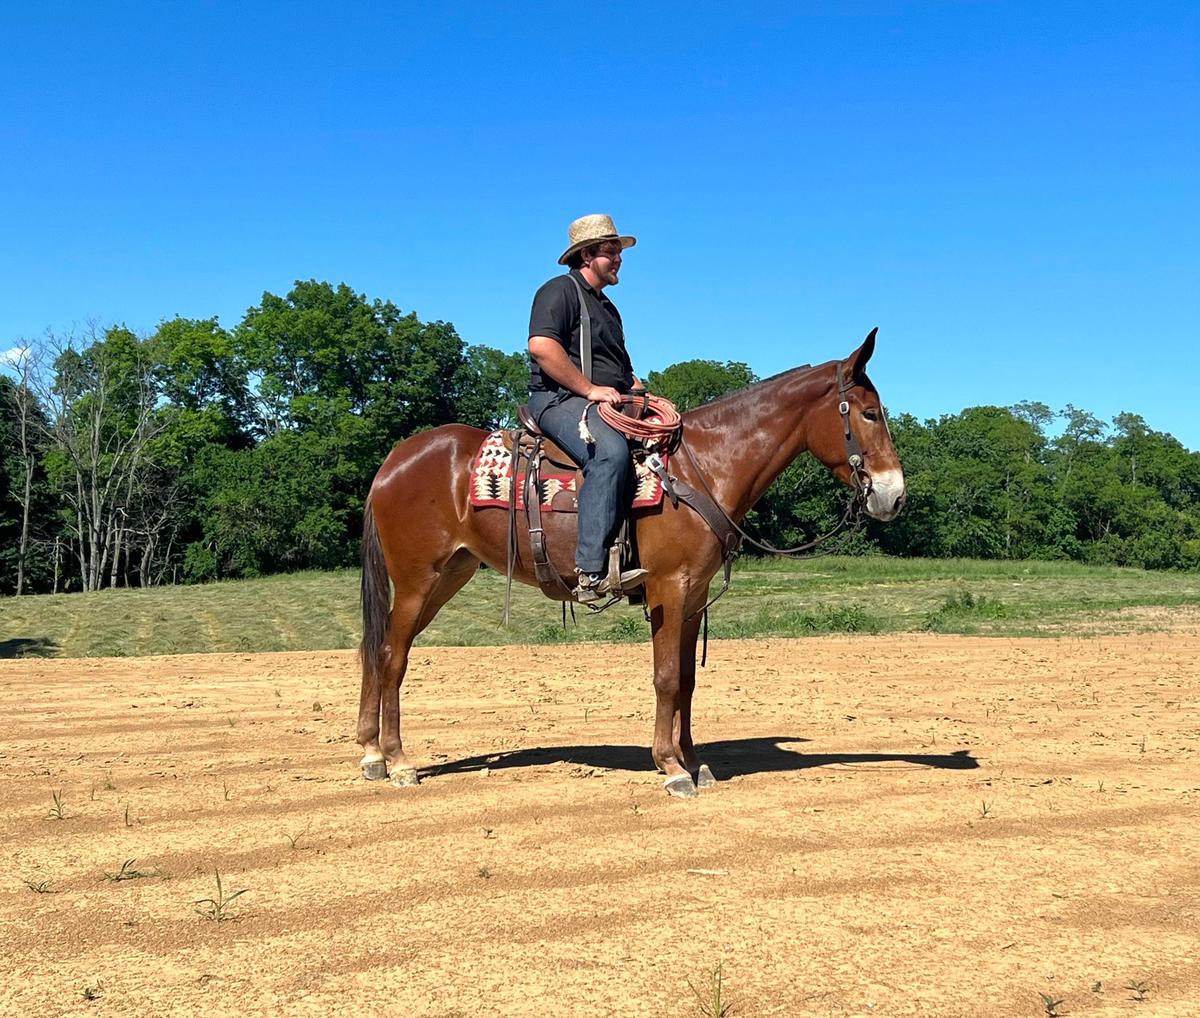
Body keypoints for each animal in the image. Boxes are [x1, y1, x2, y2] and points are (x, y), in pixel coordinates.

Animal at [357, 328, 906, 798]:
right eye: (869, 413)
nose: (894, 495)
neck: (701, 468)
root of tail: (393, 462)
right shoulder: (669, 588)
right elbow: (665, 677)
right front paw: (671, 767)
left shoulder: (695, 595)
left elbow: (686, 682)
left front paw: (694, 762)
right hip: (417, 578)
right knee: (391, 655)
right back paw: (398, 761)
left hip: (449, 575)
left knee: (377, 649)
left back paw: (370, 753)